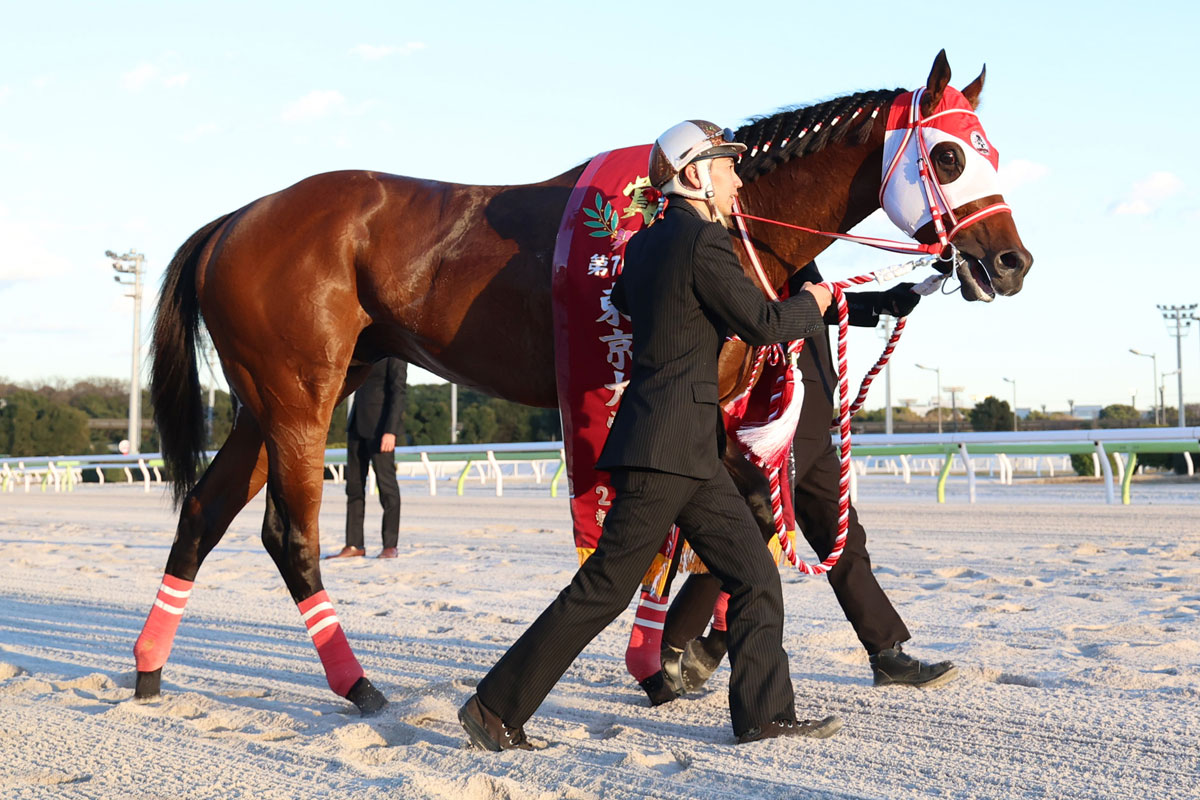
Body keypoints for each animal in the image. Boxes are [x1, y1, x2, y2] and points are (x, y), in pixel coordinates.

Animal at [134, 50, 1032, 713]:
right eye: (948, 154)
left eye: (991, 153)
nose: (1011, 261)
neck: (719, 221)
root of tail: (236, 219)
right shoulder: (671, 402)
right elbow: (718, 530)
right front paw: (685, 652)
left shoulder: (702, 407)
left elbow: (711, 534)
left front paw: (674, 654)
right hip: (301, 395)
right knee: (289, 537)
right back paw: (358, 686)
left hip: (275, 396)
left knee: (205, 512)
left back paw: (148, 669)